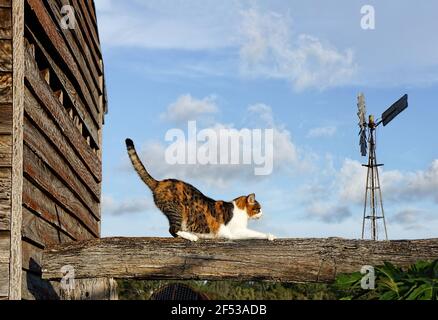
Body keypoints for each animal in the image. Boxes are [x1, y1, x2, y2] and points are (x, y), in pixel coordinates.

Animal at [125, 139, 274, 241]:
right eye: (259, 209)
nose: (262, 214)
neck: (239, 210)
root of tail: (159, 183)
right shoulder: (236, 231)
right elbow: (255, 233)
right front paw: (270, 235)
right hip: (177, 210)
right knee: (173, 229)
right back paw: (192, 237)